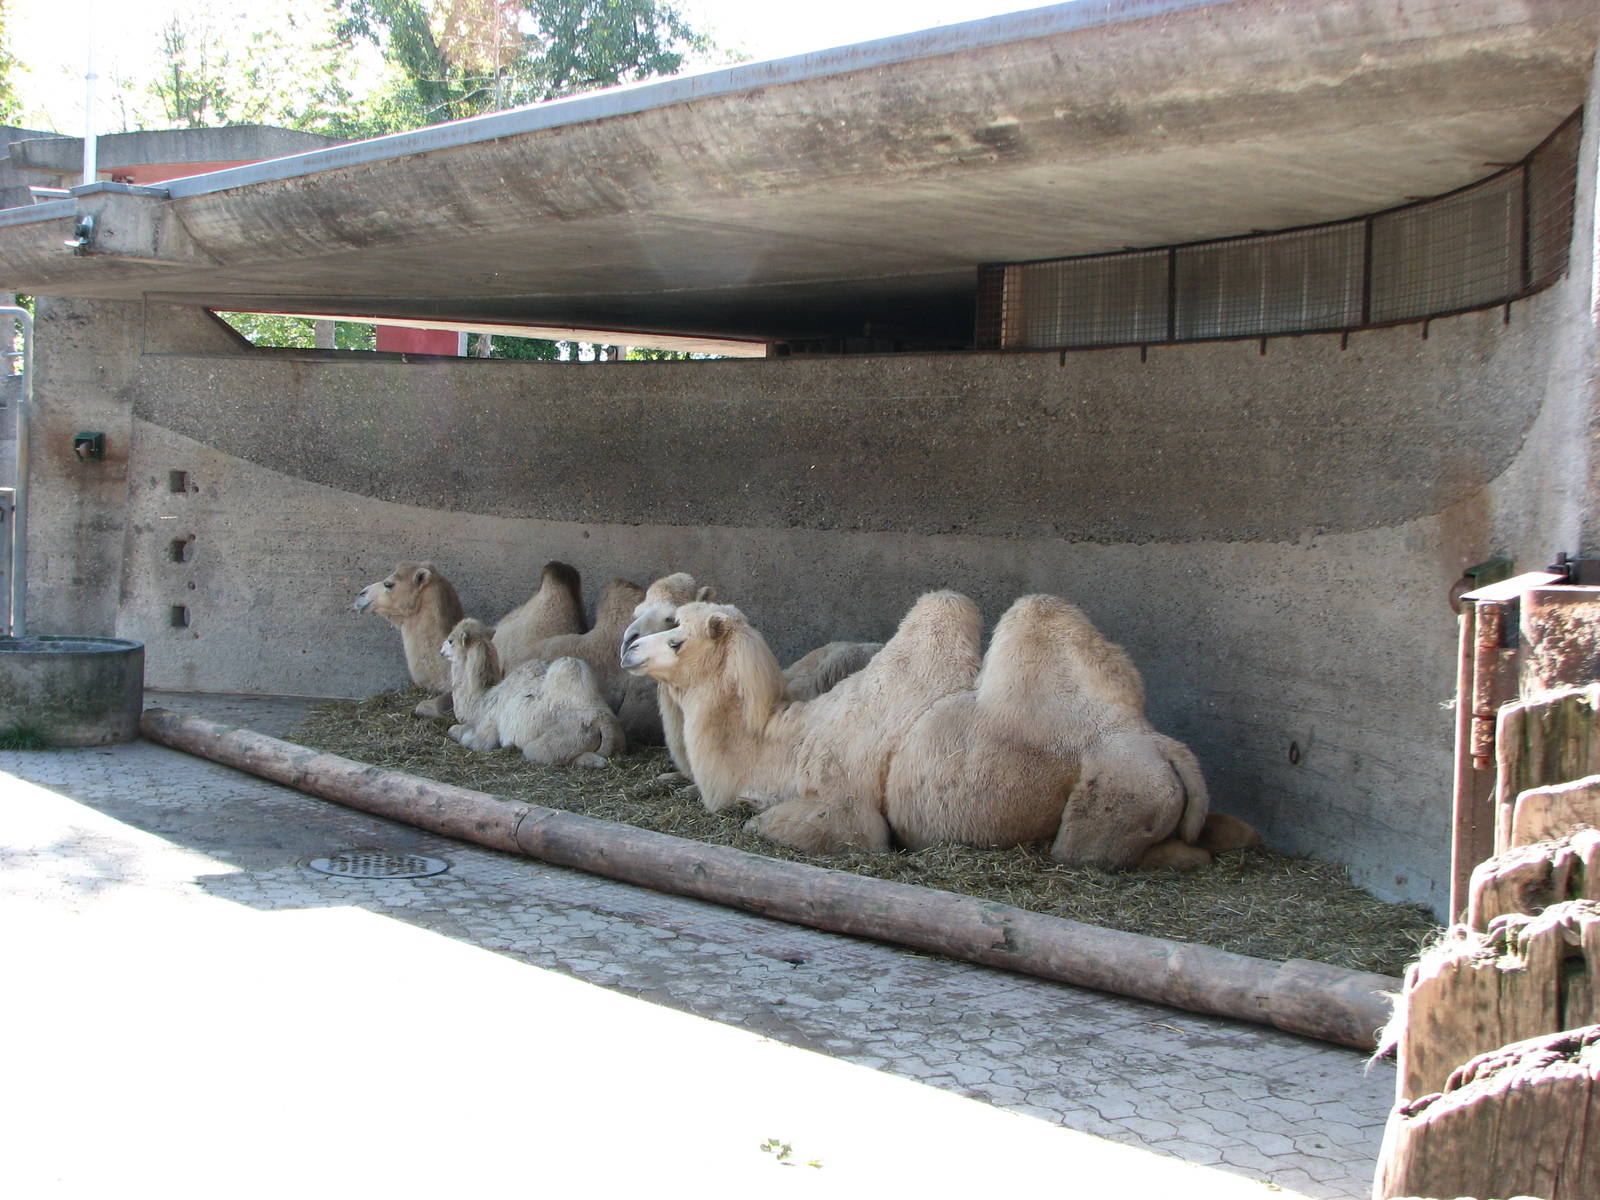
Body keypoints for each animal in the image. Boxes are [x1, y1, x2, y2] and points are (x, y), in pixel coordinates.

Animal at [441, 619, 622, 766]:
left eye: (451, 640)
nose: (440, 650)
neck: (483, 698)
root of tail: (603, 720)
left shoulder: (487, 728)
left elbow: (460, 734)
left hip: (563, 738)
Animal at [622, 591, 1220, 870]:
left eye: (677, 638)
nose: (628, 648)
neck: (777, 744)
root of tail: (1168, 748)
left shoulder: (849, 810)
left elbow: (765, 825)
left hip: (1119, 788)